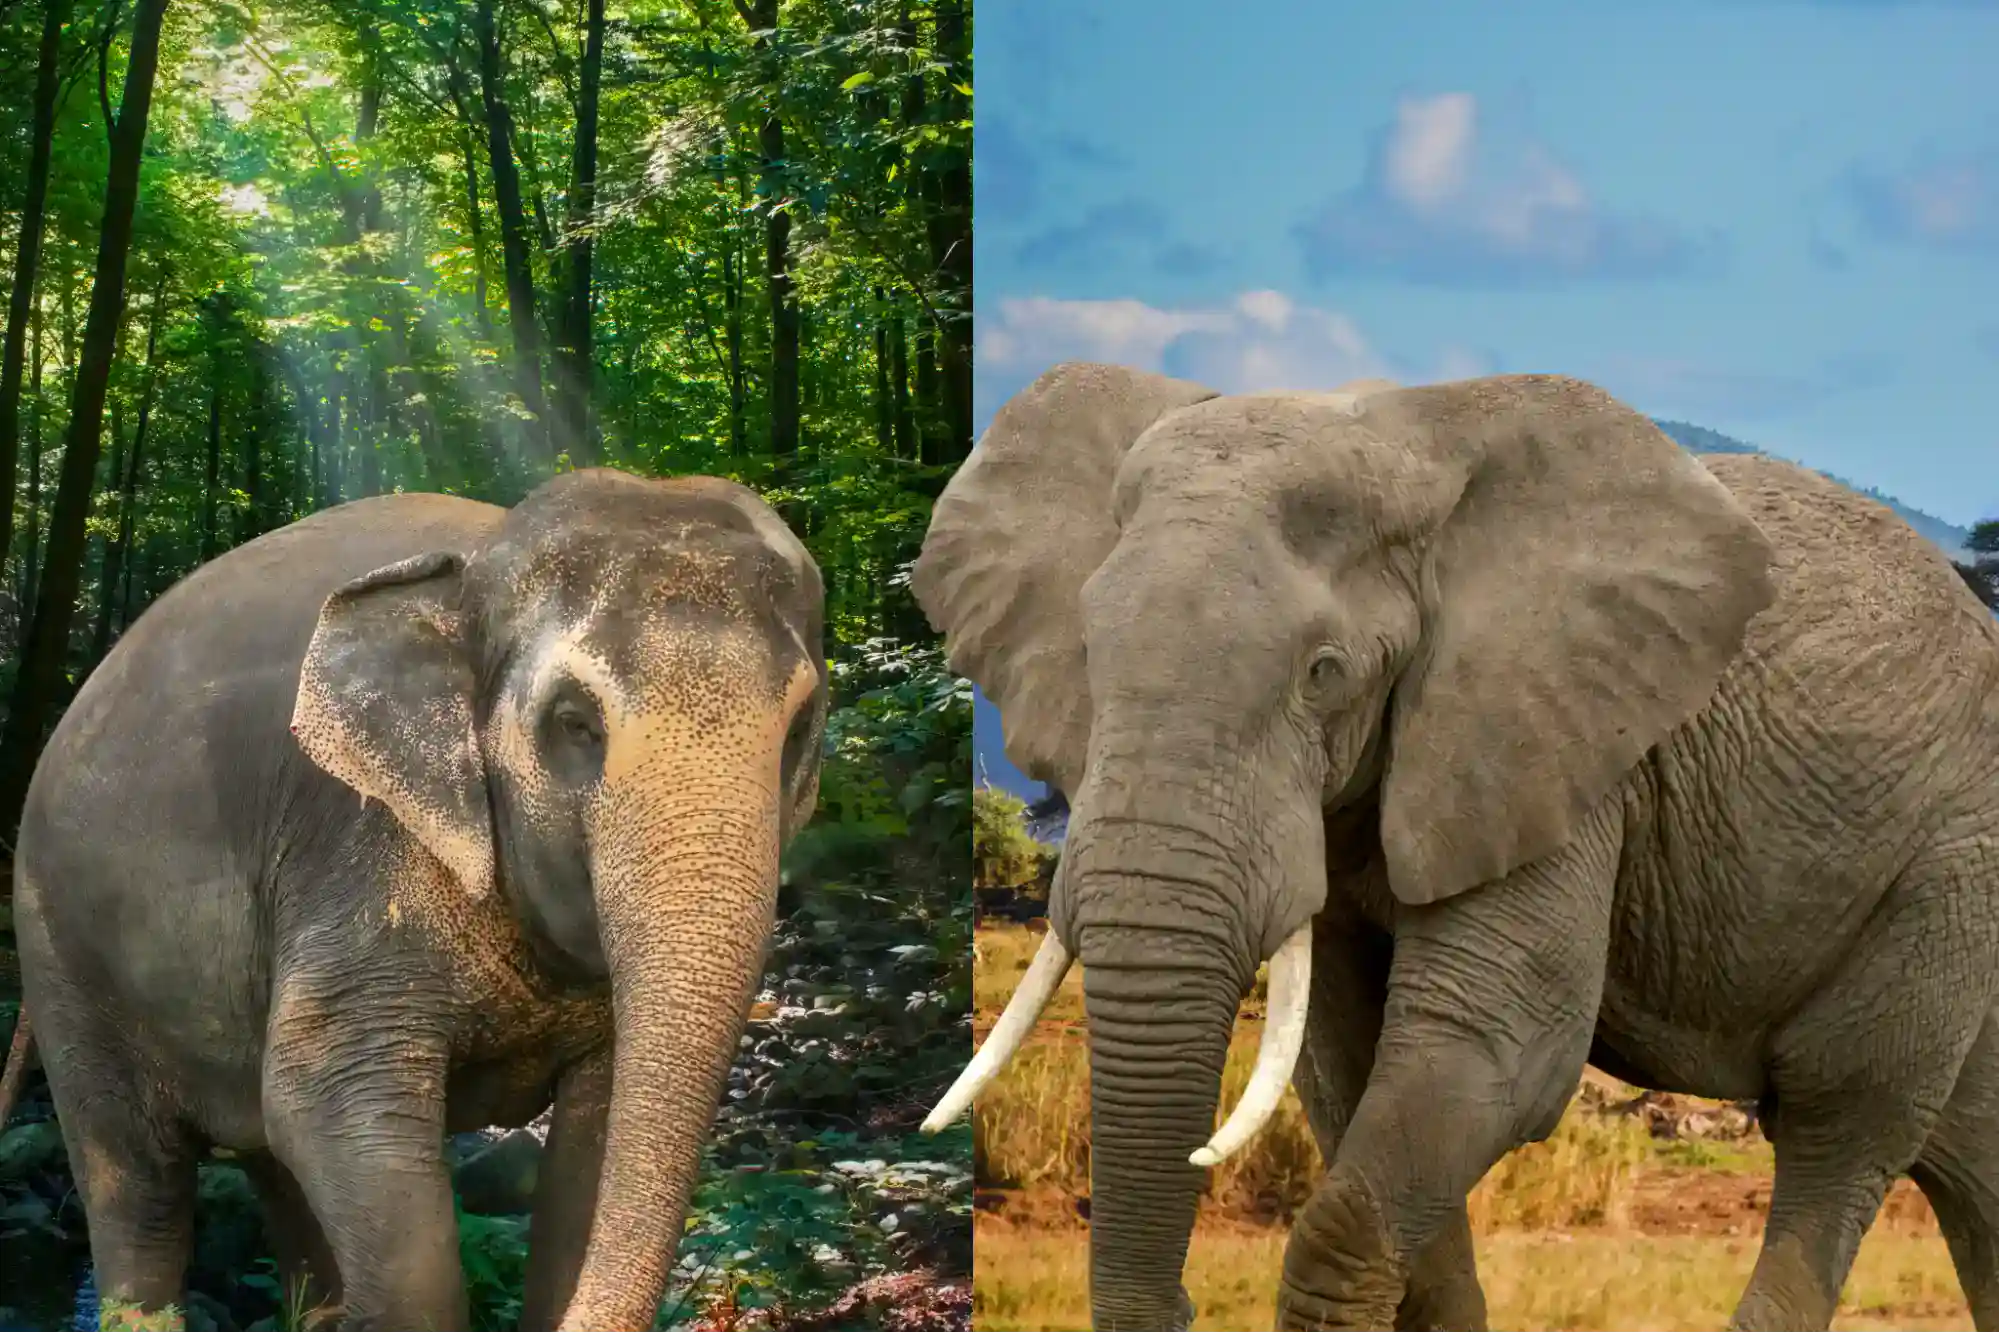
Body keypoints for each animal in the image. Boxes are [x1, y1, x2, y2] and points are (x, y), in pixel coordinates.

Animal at [5, 467, 827, 1332]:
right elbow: (325, 1102)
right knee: (139, 1190)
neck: (480, 562)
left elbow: (596, 1146)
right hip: (62, 954)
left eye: (800, 726)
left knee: (270, 1168)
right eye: (575, 723)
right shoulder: (356, 844)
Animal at [916, 363, 1999, 1332]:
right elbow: (1348, 1067)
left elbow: (1491, 1053)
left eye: (1324, 672)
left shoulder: (1554, 746)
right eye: (1086, 653)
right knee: (1968, 1160)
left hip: (1948, 862)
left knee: (1841, 1116)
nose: (1178, 1306)